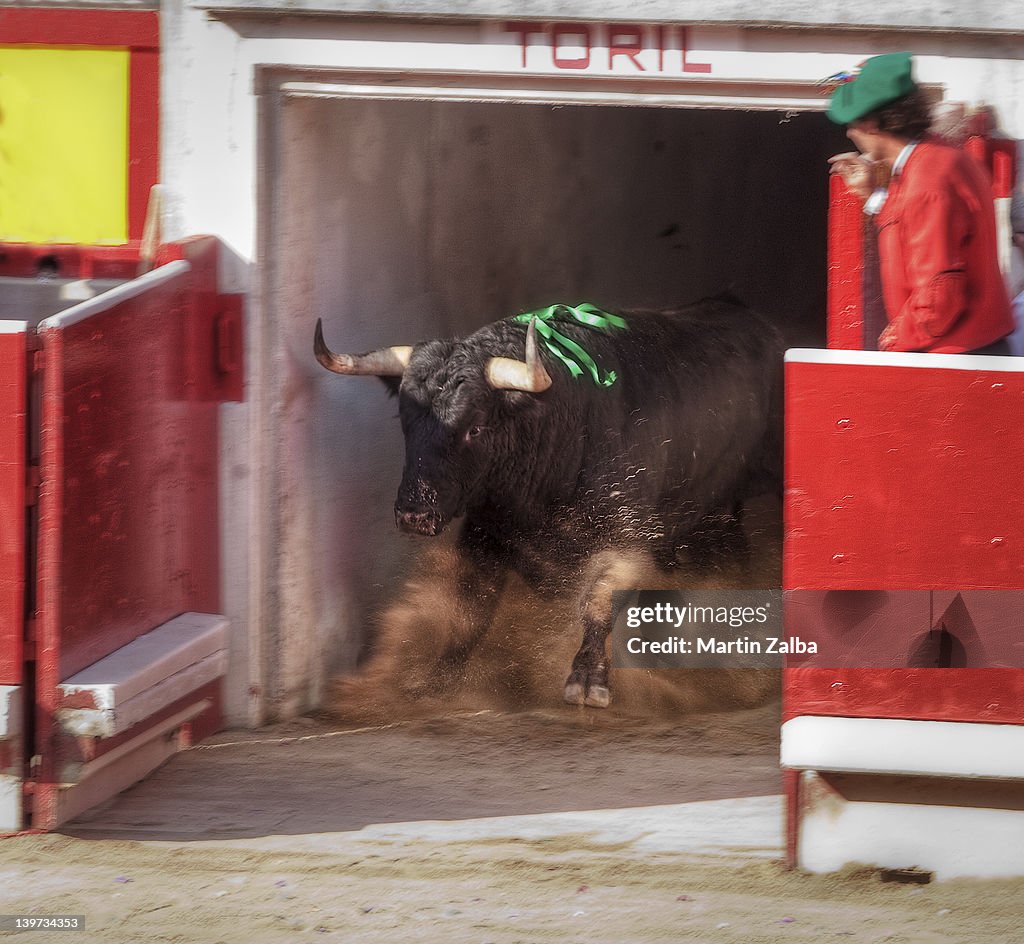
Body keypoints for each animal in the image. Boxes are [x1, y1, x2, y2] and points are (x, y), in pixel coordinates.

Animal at [315, 296, 778, 704]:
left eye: (475, 427)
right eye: (406, 422)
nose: (414, 513)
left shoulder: (626, 536)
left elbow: (598, 601)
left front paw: (588, 680)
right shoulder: (483, 535)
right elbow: (468, 612)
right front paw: (434, 679)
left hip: (721, 513)